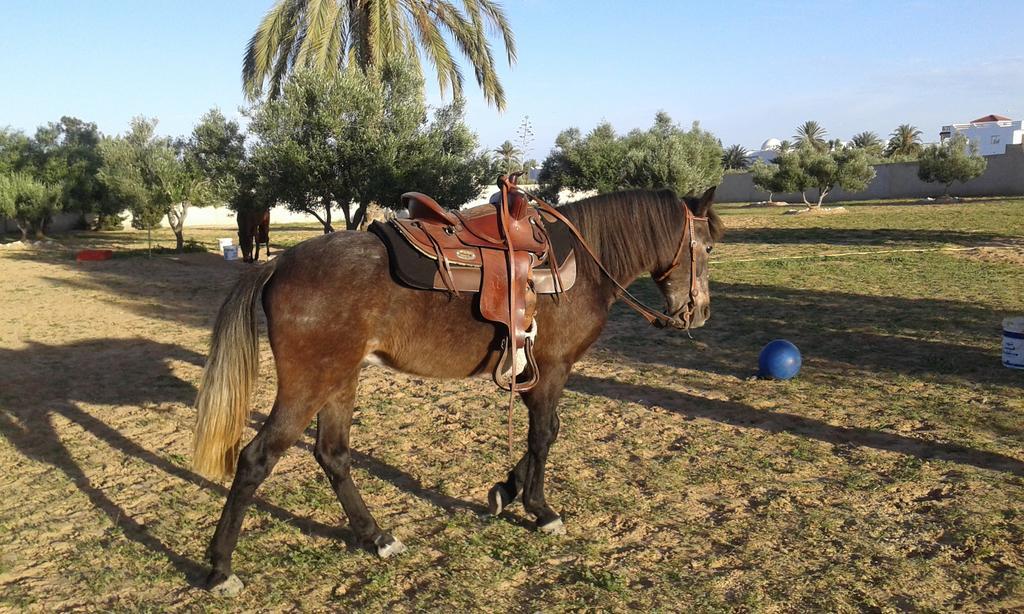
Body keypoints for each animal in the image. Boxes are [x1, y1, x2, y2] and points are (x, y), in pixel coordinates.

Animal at [190, 187, 720, 593]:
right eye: (709, 248)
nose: (699, 314)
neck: (581, 265)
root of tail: (278, 265)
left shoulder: (535, 373)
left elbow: (540, 437)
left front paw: (506, 491)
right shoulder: (552, 371)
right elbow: (544, 435)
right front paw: (540, 509)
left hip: (340, 378)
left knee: (333, 454)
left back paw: (376, 536)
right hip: (310, 382)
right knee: (256, 459)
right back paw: (220, 568)